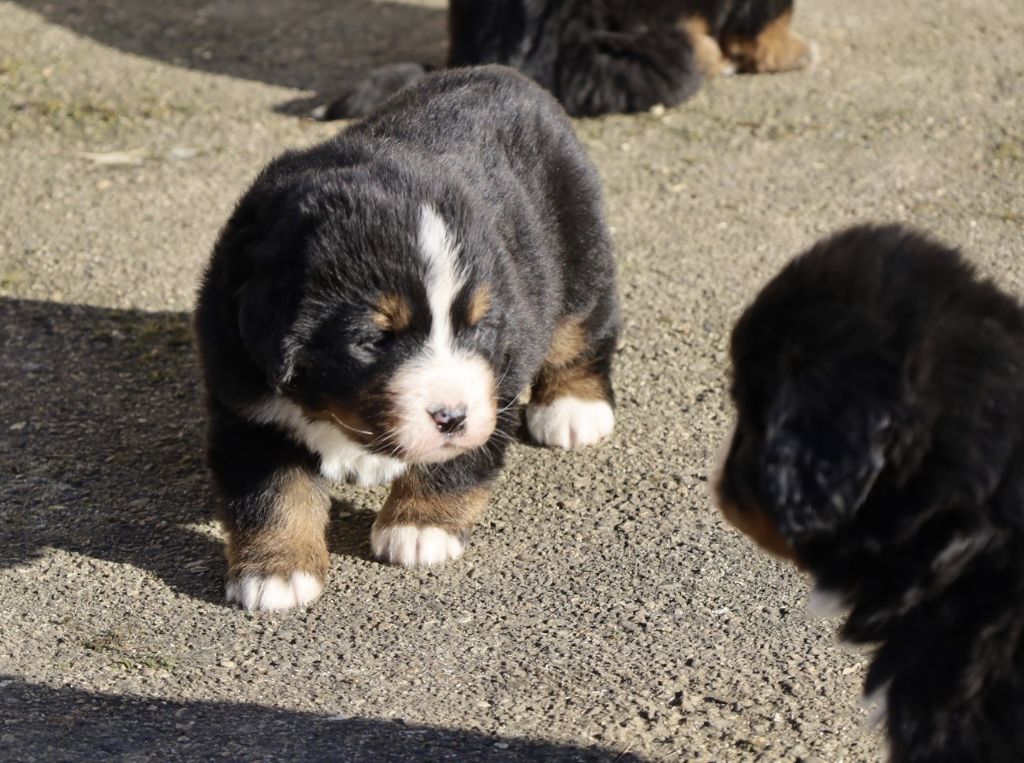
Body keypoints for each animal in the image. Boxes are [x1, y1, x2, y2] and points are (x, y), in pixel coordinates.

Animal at [195, 67, 618, 614]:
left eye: (477, 328)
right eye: (376, 339)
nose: (451, 417)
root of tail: (504, 75)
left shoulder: (496, 376)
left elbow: (460, 456)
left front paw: (419, 525)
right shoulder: (246, 403)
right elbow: (271, 492)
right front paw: (276, 572)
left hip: (579, 248)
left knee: (584, 328)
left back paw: (572, 408)